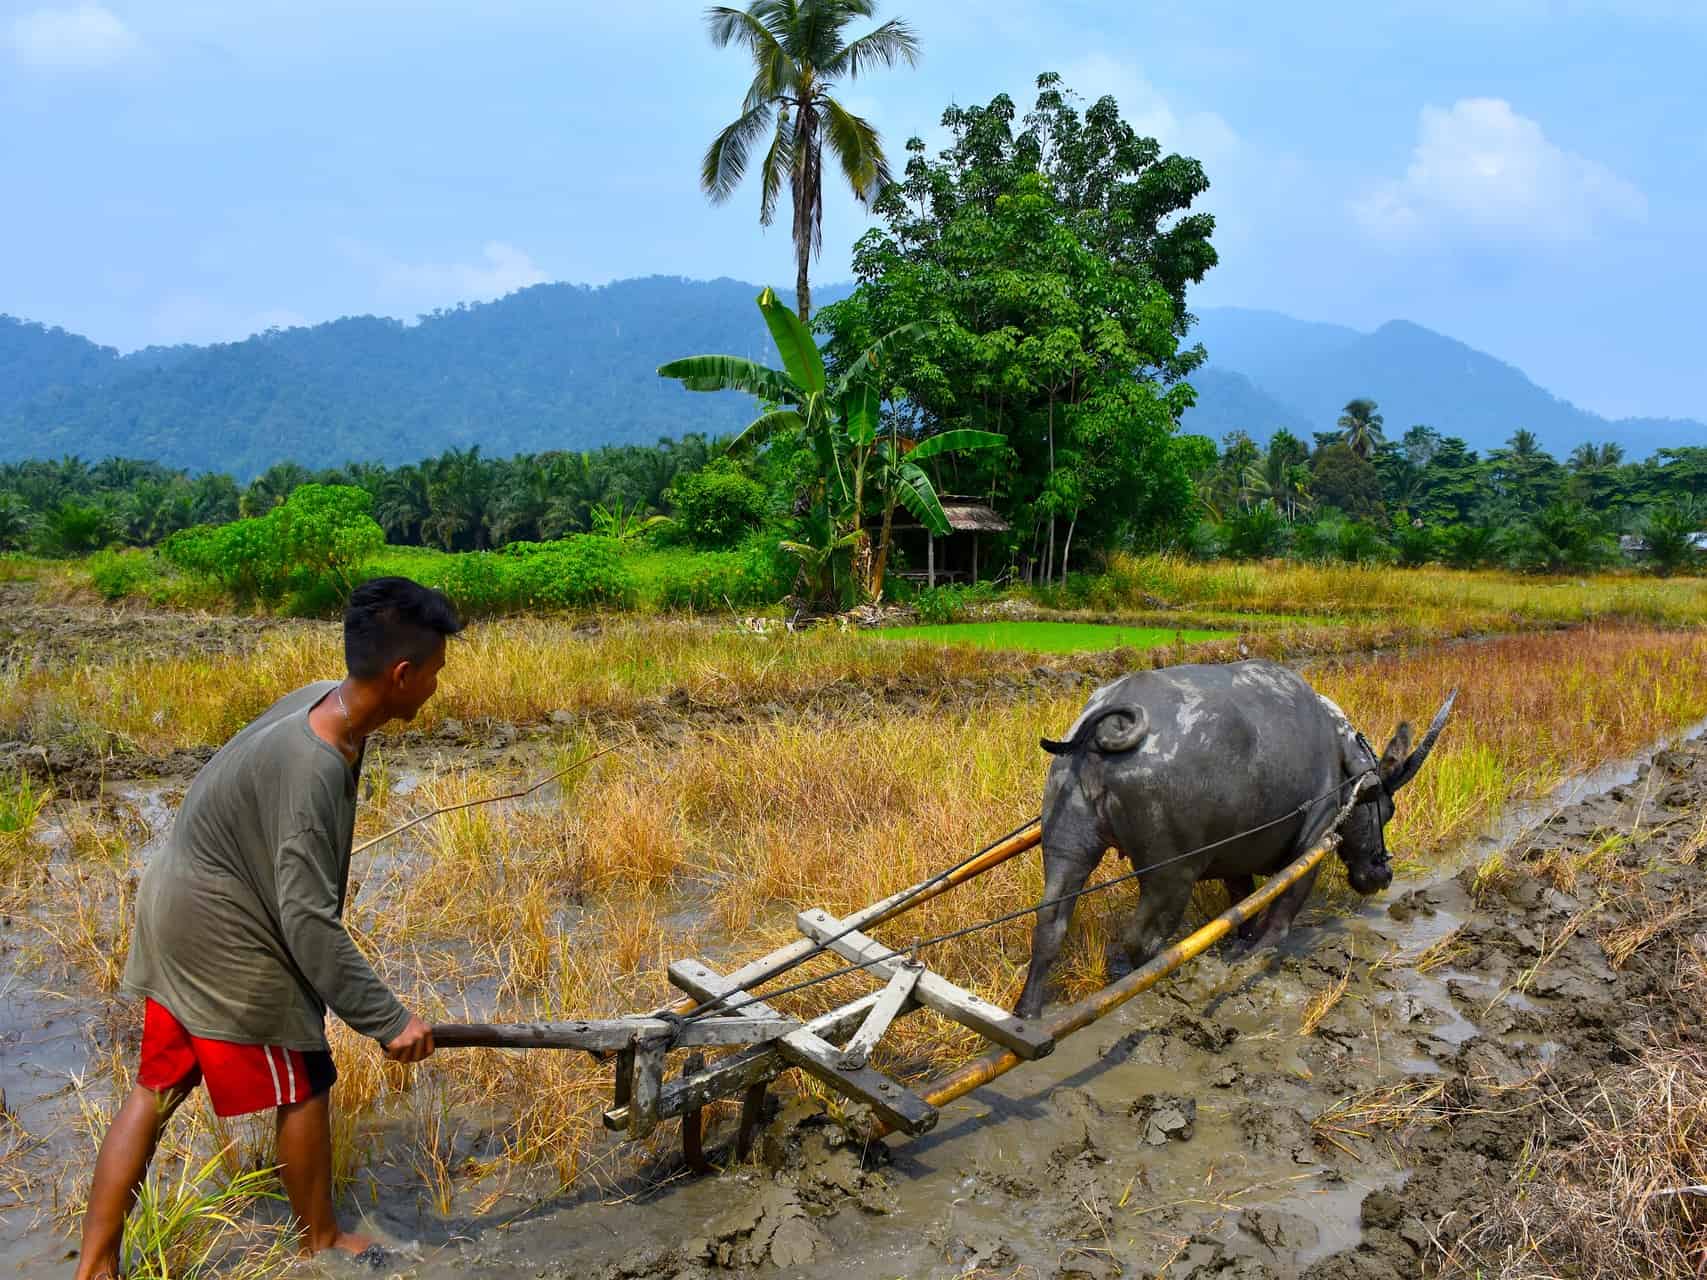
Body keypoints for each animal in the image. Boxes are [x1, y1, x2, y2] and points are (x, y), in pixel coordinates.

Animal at [1010, 662, 1454, 1024]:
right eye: (1386, 810)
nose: (1382, 871)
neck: (1341, 759)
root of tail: (1109, 724)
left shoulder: (1237, 857)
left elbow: (1241, 901)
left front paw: (1241, 939)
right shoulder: (1313, 838)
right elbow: (1279, 917)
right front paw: (1253, 953)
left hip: (1067, 844)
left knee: (1050, 925)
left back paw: (1027, 1012)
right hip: (1171, 874)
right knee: (1141, 940)